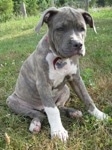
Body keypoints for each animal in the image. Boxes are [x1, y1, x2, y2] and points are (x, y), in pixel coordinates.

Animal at [6, 6, 108, 142]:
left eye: (82, 28)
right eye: (60, 29)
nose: (78, 44)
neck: (60, 58)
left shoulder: (76, 79)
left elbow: (87, 98)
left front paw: (100, 115)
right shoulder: (43, 84)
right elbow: (52, 110)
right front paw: (58, 131)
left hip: (65, 90)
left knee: (59, 106)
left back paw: (73, 112)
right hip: (12, 101)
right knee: (38, 113)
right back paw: (35, 124)